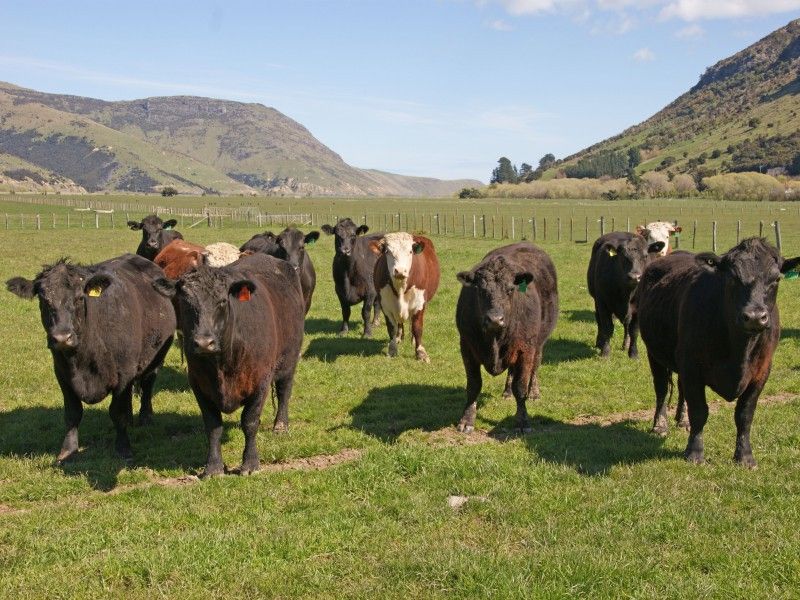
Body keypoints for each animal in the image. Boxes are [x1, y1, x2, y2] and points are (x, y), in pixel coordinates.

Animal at [5, 253, 175, 460]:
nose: (62, 337)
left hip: (156, 358)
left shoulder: (124, 373)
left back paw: (145, 416)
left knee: (147, 384)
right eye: (44, 300)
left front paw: (123, 447)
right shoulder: (62, 373)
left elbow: (117, 412)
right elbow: (72, 413)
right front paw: (68, 451)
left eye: (79, 298)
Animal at [155, 251, 304, 476]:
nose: (204, 343)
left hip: (289, 359)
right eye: (186, 302)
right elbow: (213, 426)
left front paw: (250, 463)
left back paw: (280, 426)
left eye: (223, 301)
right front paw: (213, 467)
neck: (221, 365)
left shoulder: (260, 380)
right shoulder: (198, 383)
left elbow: (250, 422)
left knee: (284, 390)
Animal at [370, 231, 440, 360]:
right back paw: (399, 337)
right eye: (388, 251)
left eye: (410, 251)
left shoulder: (419, 304)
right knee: (399, 323)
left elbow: (417, 327)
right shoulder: (386, 305)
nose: (400, 271)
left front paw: (420, 352)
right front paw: (392, 349)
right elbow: (391, 328)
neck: (401, 288)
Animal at [454, 241, 560, 434]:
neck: (495, 340)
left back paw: (534, 392)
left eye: (511, 289)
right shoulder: (467, 346)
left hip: (539, 343)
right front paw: (466, 420)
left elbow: (521, 386)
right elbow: (473, 385)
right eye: (480, 290)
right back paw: (507, 392)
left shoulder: (526, 349)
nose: (495, 319)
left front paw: (523, 421)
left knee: (535, 367)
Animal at [632, 237, 800, 466]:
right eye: (732, 278)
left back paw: (682, 420)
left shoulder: (761, 372)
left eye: (776, 279)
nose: (755, 317)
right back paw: (660, 424)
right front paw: (695, 452)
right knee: (661, 389)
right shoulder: (692, 368)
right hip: (655, 353)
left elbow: (745, 414)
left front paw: (745, 456)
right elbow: (699, 411)